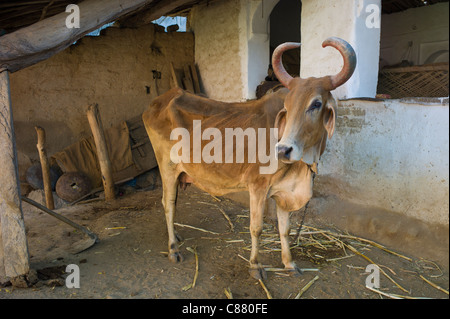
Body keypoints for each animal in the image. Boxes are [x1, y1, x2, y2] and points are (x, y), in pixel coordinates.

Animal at [142, 37, 356, 280]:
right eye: (287, 106)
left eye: (316, 104)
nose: (283, 150)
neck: (302, 164)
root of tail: (161, 100)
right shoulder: (258, 186)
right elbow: (256, 228)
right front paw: (255, 265)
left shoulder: (284, 191)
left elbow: (285, 229)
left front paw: (289, 263)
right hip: (167, 168)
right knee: (168, 205)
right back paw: (173, 249)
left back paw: (176, 236)